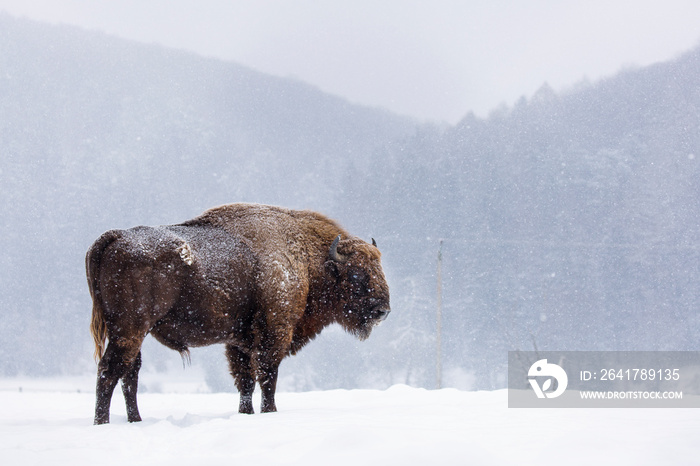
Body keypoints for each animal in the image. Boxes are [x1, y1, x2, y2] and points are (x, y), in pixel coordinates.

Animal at [87, 202, 392, 424]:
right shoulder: (275, 332)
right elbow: (267, 377)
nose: (383, 310)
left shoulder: (239, 342)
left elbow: (245, 381)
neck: (306, 258)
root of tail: (116, 236)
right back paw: (102, 423)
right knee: (110, 371)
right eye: (356, 274)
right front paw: (270, 412)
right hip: (130, 329)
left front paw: (246, 413)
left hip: (130, 332)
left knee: (130, 372)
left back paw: (135, 420)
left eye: (378, 268)